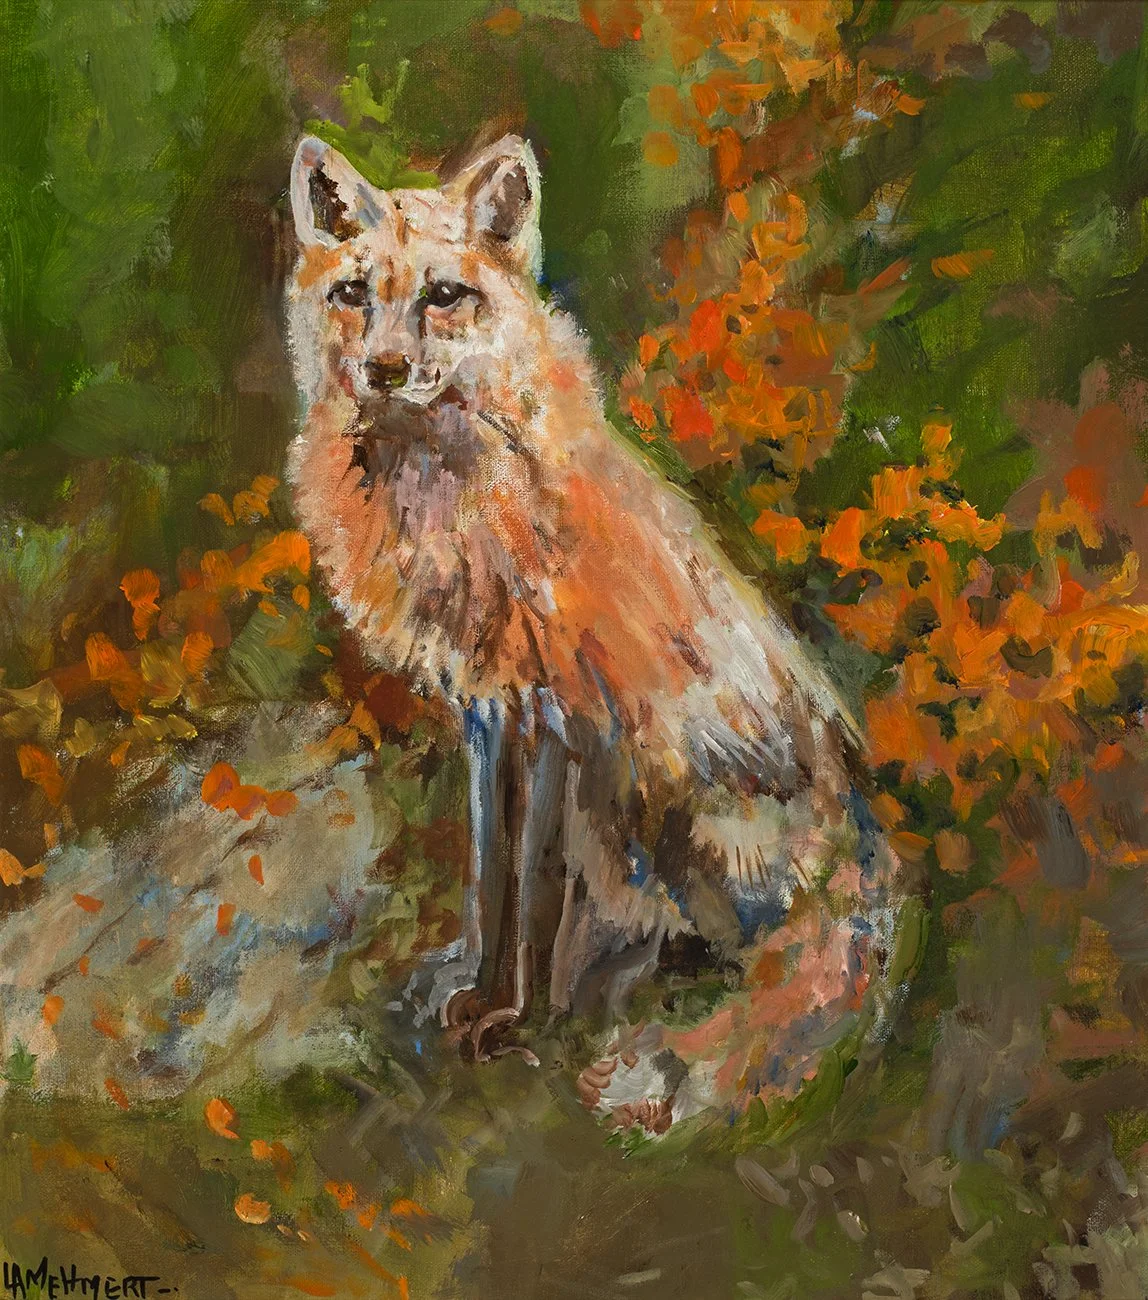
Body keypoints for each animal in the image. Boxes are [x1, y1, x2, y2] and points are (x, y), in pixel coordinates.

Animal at [285, 133, 900, 1122]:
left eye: (443, 296)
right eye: (351, 294)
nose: (382, 370)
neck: (445, 498)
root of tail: (868, 854)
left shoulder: (557, 715)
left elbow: (533, 890)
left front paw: (517, 1017)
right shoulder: (489, 713)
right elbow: (489, 873)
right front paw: (480, 992)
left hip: (666, 792)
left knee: (748, 956)